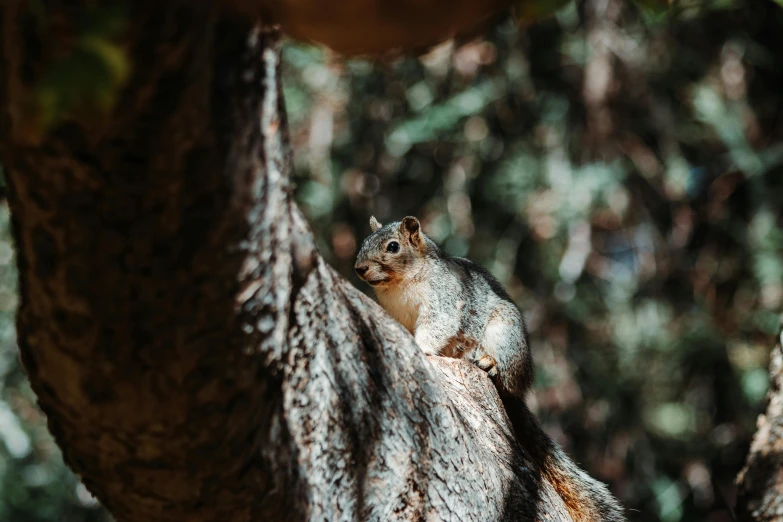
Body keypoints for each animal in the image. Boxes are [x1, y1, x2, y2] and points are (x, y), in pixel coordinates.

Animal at [354, 214, 624, 520]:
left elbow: (437, 326)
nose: (359, 268)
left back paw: (488, 363)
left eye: (393, 246)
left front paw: (420, 347)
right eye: (364, 241)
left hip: (504, 334)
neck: (400, 284)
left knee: (506, 376)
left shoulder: (443, 301)